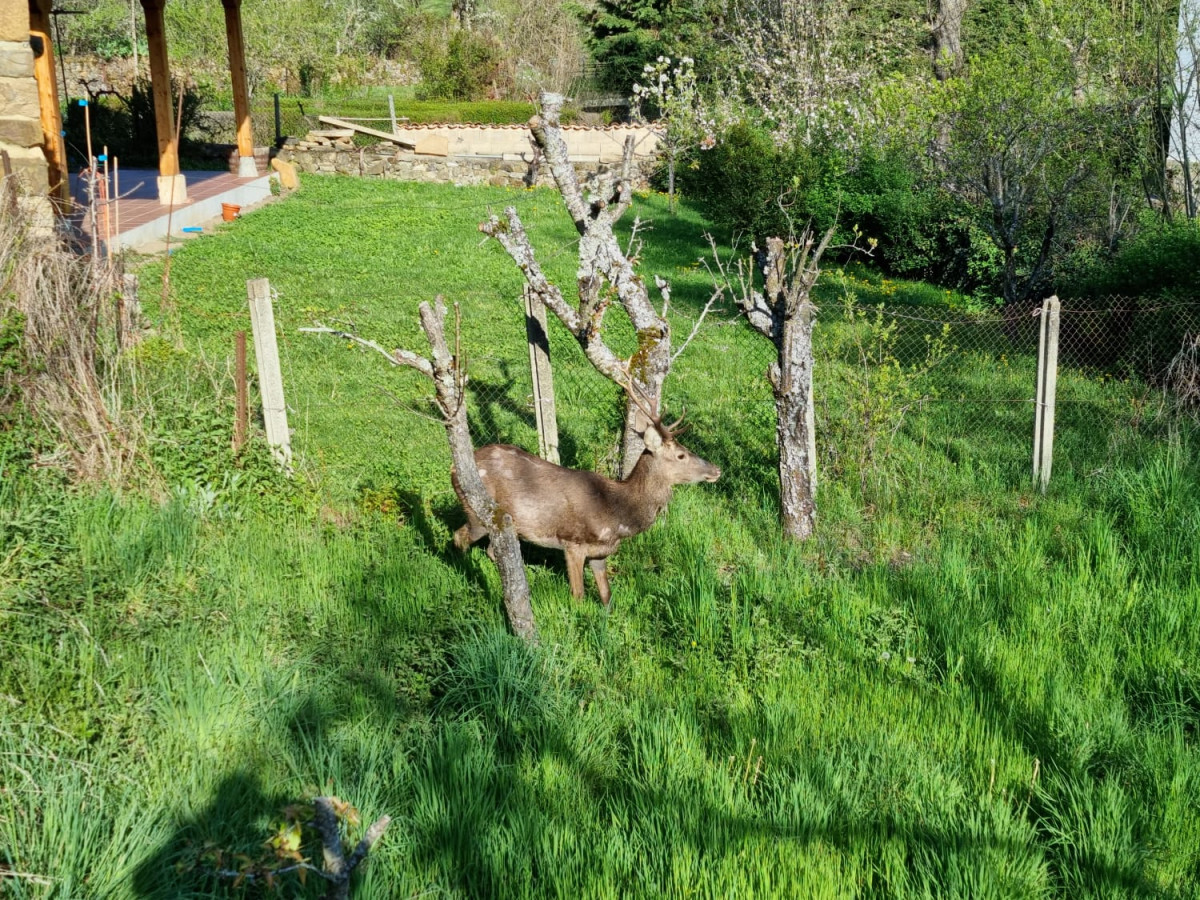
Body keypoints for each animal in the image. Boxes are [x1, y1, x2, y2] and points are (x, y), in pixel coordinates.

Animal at [451, 393, 720, 607]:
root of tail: (453, 469)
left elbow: (606, 595)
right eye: (681, 455)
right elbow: (578, 595)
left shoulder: (600, 552)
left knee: (491, 551)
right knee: (459, 537)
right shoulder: (573, 543)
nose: (717, 469)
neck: (617, 513)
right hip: (477, 512)